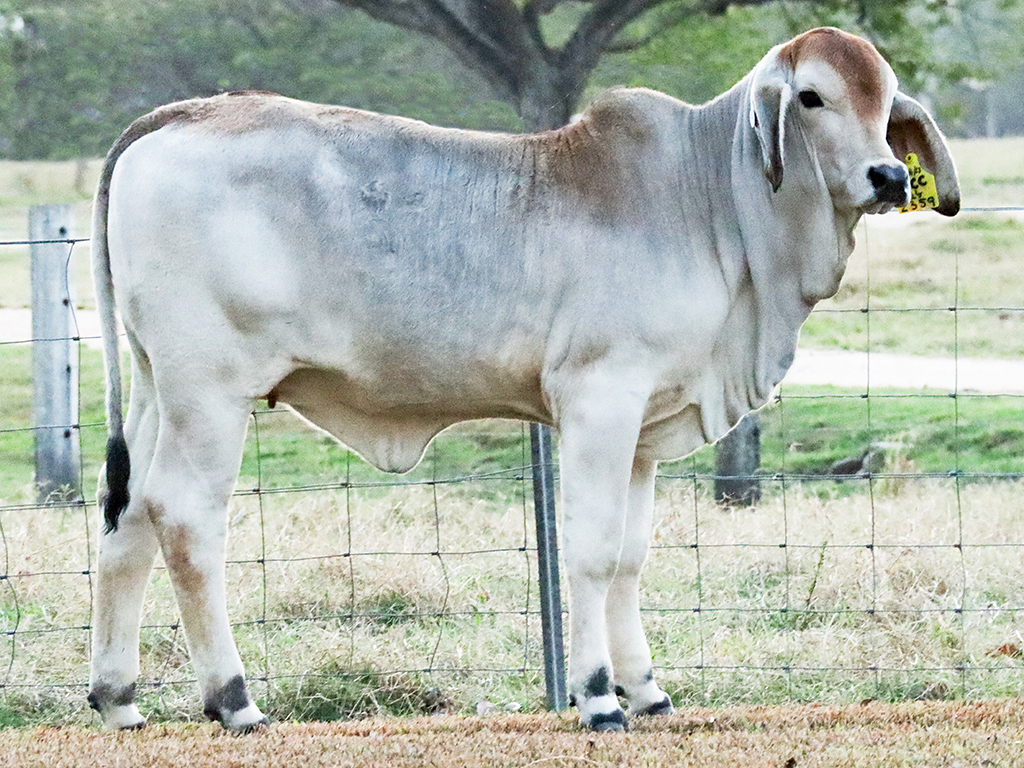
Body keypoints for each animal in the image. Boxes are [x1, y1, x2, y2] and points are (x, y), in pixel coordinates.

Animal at [89, 27, 959, 732]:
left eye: (885, 101)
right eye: (812, 97)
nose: (888, 176)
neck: (707, 200)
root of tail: (177, 116)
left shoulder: (643, 432)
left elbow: (632, 556)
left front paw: (648, 691)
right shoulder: (600, 401)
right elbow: (594, 550)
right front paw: (600, 697)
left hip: (155, 391)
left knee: (127, 519)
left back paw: (119, 700)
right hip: (212, 393)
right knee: (186, 518)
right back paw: (235, 701)